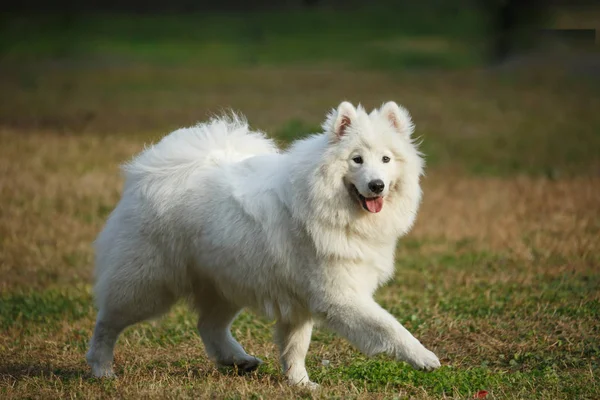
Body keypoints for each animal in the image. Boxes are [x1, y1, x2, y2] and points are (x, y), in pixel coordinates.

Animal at [85, 101, 440, 388]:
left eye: (386, 159)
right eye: (356, 160)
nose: (377, 185)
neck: (327, 204)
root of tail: (151, 171)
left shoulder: (302, 300)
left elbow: (295, 346)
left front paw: (300, 383)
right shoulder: (338, 295)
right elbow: (389, 326)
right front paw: (424, 356)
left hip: (226, 281)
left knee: (208, 326)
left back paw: (238, 360)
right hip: (148, 285)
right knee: (107, 322)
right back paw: (101, 369)